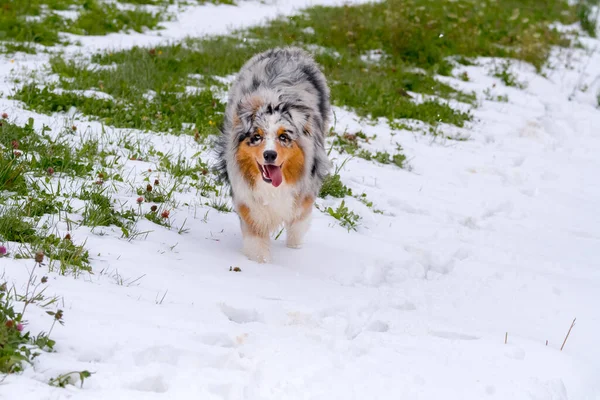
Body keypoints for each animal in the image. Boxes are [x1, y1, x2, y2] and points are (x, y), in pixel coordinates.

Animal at [213, 47, 330, 264]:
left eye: (283, 137)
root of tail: (288, 50)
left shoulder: (306, 189)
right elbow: (256, 236)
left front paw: (295, 250)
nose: (269, 155)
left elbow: (298, 222)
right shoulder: (247, 199)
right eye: (257, 137)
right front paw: (261, 263)